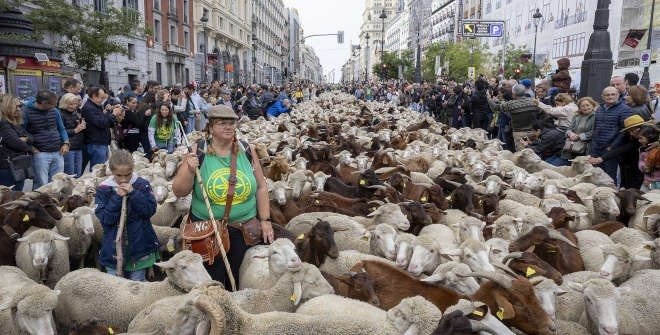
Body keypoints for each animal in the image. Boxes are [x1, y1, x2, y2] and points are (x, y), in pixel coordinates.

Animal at [55, 251, 214, 332]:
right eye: (183, 267)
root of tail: (66, 276)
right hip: (65, 321)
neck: (165, 290)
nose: (208, 282)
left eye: (202, 262)